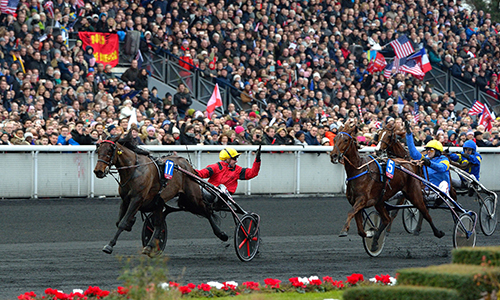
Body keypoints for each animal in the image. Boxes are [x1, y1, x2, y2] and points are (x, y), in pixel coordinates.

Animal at [93, 128, 228, 255]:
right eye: (98, 150)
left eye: (109, 151)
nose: (98, 171)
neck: (134, 170)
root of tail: (186, 163)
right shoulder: (125, 199)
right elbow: (119, 222)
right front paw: (130, 224)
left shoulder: (137, 199)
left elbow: (122, 222)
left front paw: (109, 245)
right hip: (162, 201)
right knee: (159, 224)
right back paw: (150, 246)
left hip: (192, 198)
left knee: (207, 211)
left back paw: (222, 234)